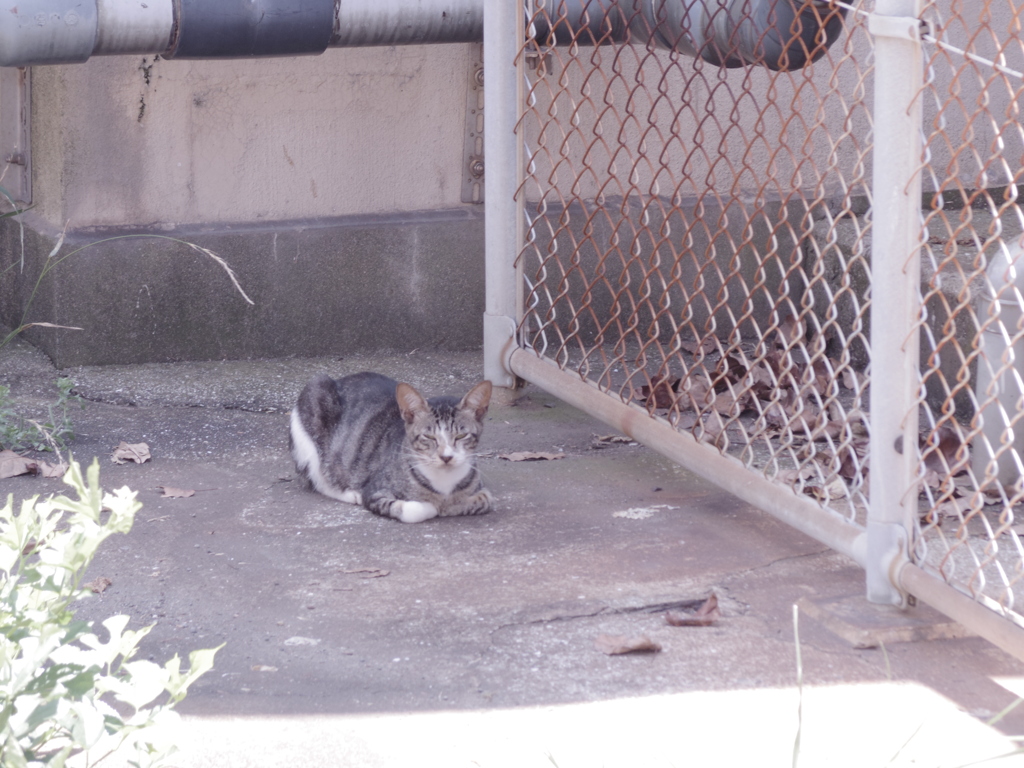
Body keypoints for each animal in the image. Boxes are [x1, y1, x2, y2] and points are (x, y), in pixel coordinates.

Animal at [288, 370, 495, 524]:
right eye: (429, 436)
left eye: (461, 436)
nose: (446, 457)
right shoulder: (375, 492)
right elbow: (417, 509)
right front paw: (435, 506)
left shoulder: (482, 490)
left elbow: (485, 499)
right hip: (313, 405)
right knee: (319, 478)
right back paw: (349, 493)